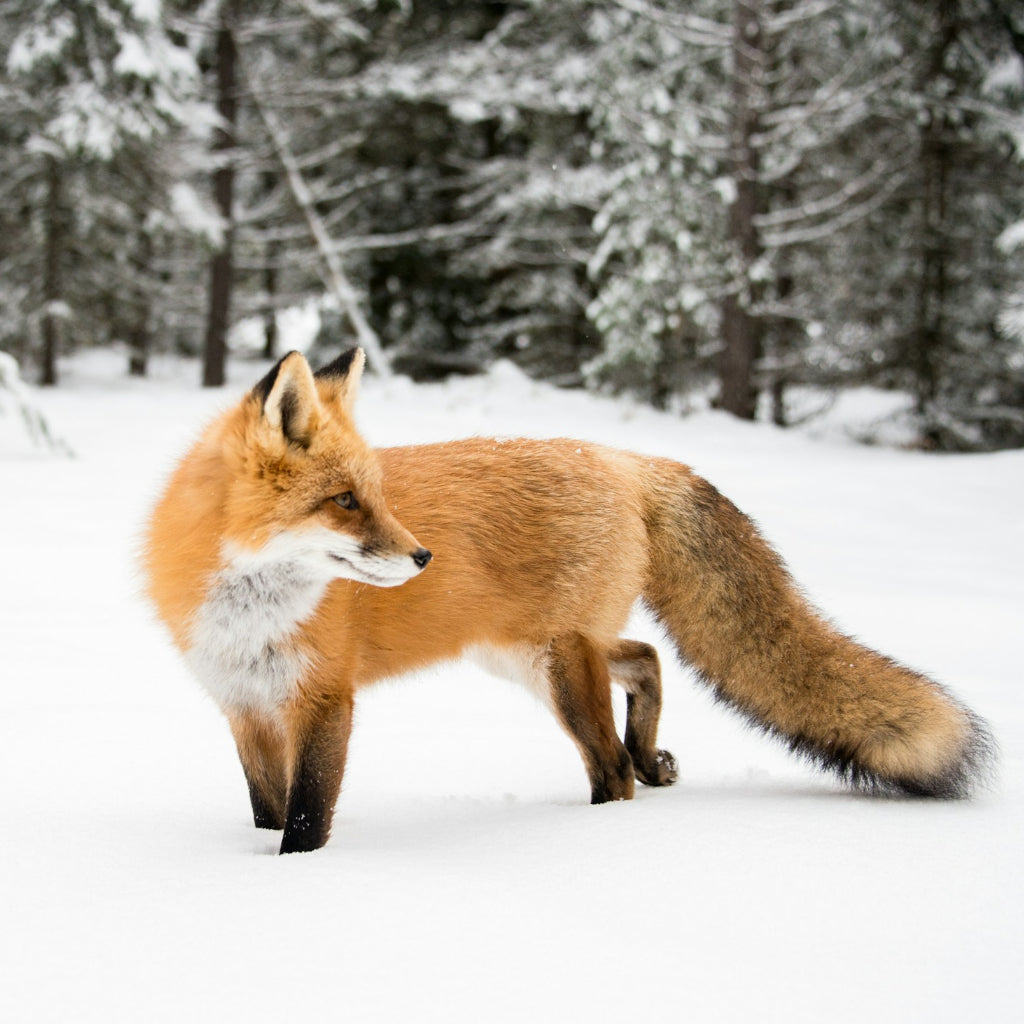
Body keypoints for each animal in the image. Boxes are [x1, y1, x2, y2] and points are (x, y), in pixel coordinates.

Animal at [142, 348, 991, 851]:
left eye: (374, 496)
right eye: (345, 501)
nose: (422, 556)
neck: (250, 611)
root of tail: (625, 458)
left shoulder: (324, 701)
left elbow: (306, 817)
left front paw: (295, 879)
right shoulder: (245, 706)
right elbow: (266, 808)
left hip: (557, 666)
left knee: (611, 764)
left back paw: (595, 827)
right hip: (529, 654)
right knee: (645, 658)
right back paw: (652, 758)